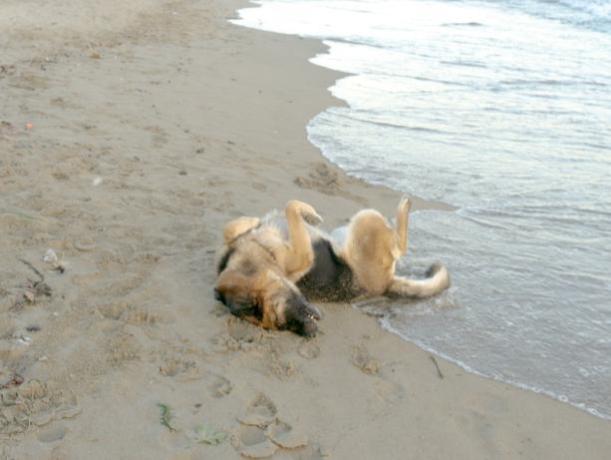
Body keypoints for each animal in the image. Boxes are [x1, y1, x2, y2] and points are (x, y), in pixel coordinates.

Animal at [215, 199, 450, 336]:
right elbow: (290, 206)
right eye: (281, 324)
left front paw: (252, 221)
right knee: (400, 243)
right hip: (366, 221)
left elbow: (231, 227)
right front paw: (307, 213)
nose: (309, 332)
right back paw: (405, 205)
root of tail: (385, 285)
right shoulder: (301, 256)